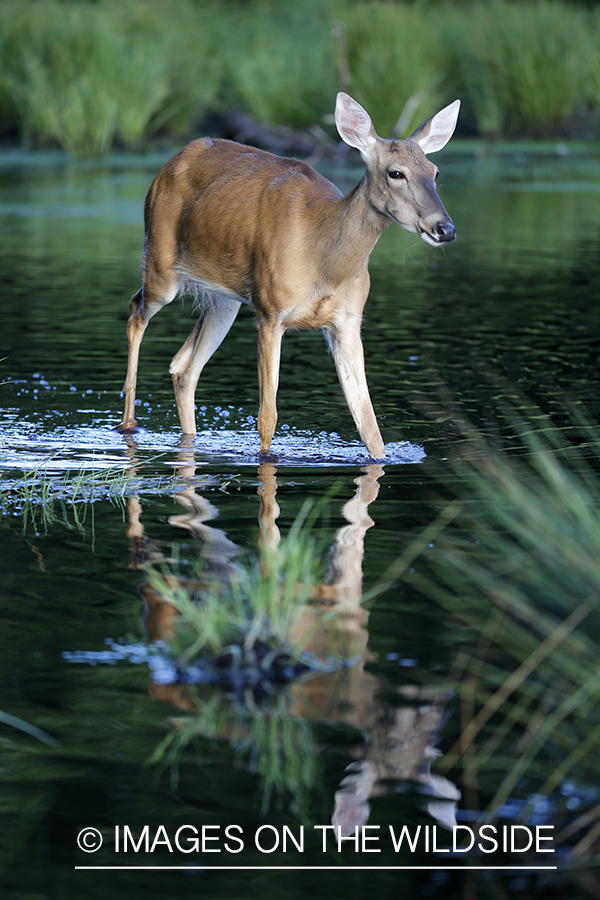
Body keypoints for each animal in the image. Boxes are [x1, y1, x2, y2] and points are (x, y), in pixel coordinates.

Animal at [116, 92, 460, 458]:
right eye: (396, 173)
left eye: (435, 171)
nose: (445, 228)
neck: (322, 258)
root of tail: (169, 163)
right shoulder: (270, 313)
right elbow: (267, 417)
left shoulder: (348, 321)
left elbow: (369, 425)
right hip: (160, 266)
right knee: (136, 311)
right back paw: (129, 423)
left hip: (224, 300)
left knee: (183, 367)